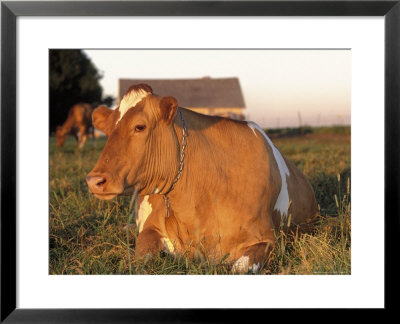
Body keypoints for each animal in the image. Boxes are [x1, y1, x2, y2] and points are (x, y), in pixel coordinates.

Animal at [86, 84, 318, 274]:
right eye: (107, 131)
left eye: (139, 126)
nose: (94, 180)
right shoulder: (150, 229)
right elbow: (139, 258)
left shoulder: (267, 239)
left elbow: (240, 268)